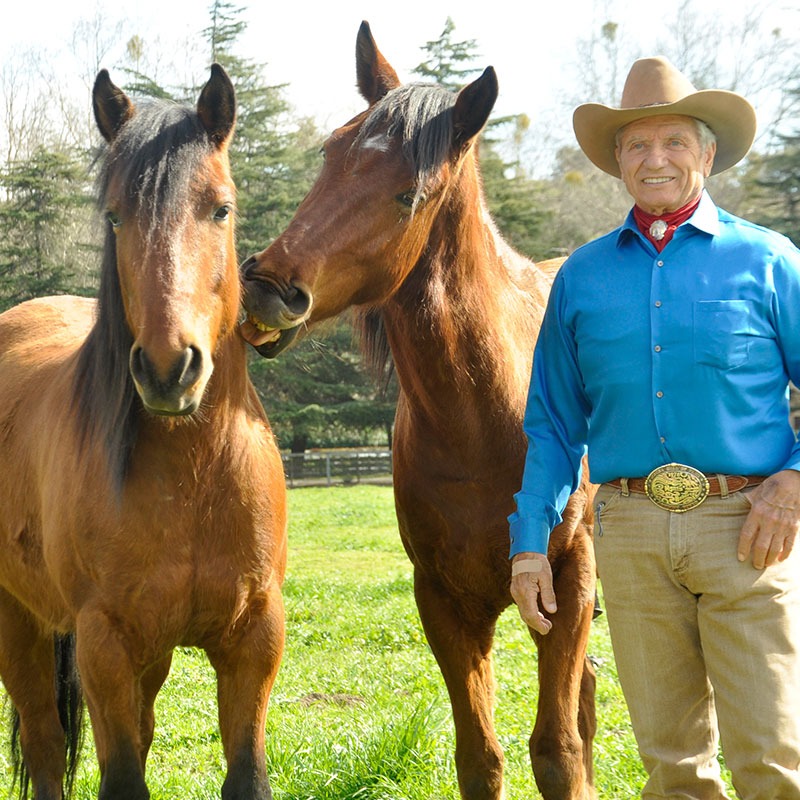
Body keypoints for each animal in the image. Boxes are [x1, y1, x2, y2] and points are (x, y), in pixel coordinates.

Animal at [0, 64, 288, 800]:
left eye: (220, 208)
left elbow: (243, 774)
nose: (168, 367)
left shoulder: (254, 638)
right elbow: (122, 776)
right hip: (18, 620)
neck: (193, 472)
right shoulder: (103, 641)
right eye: (114, 215)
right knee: (45, 744)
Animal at [241, 21, 596, 800]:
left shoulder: (568, 582)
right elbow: (481, 757)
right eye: (331, 155)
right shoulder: (443, 600)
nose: (267, 287)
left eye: (409, 193)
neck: (488, 425)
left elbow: (558, 752)